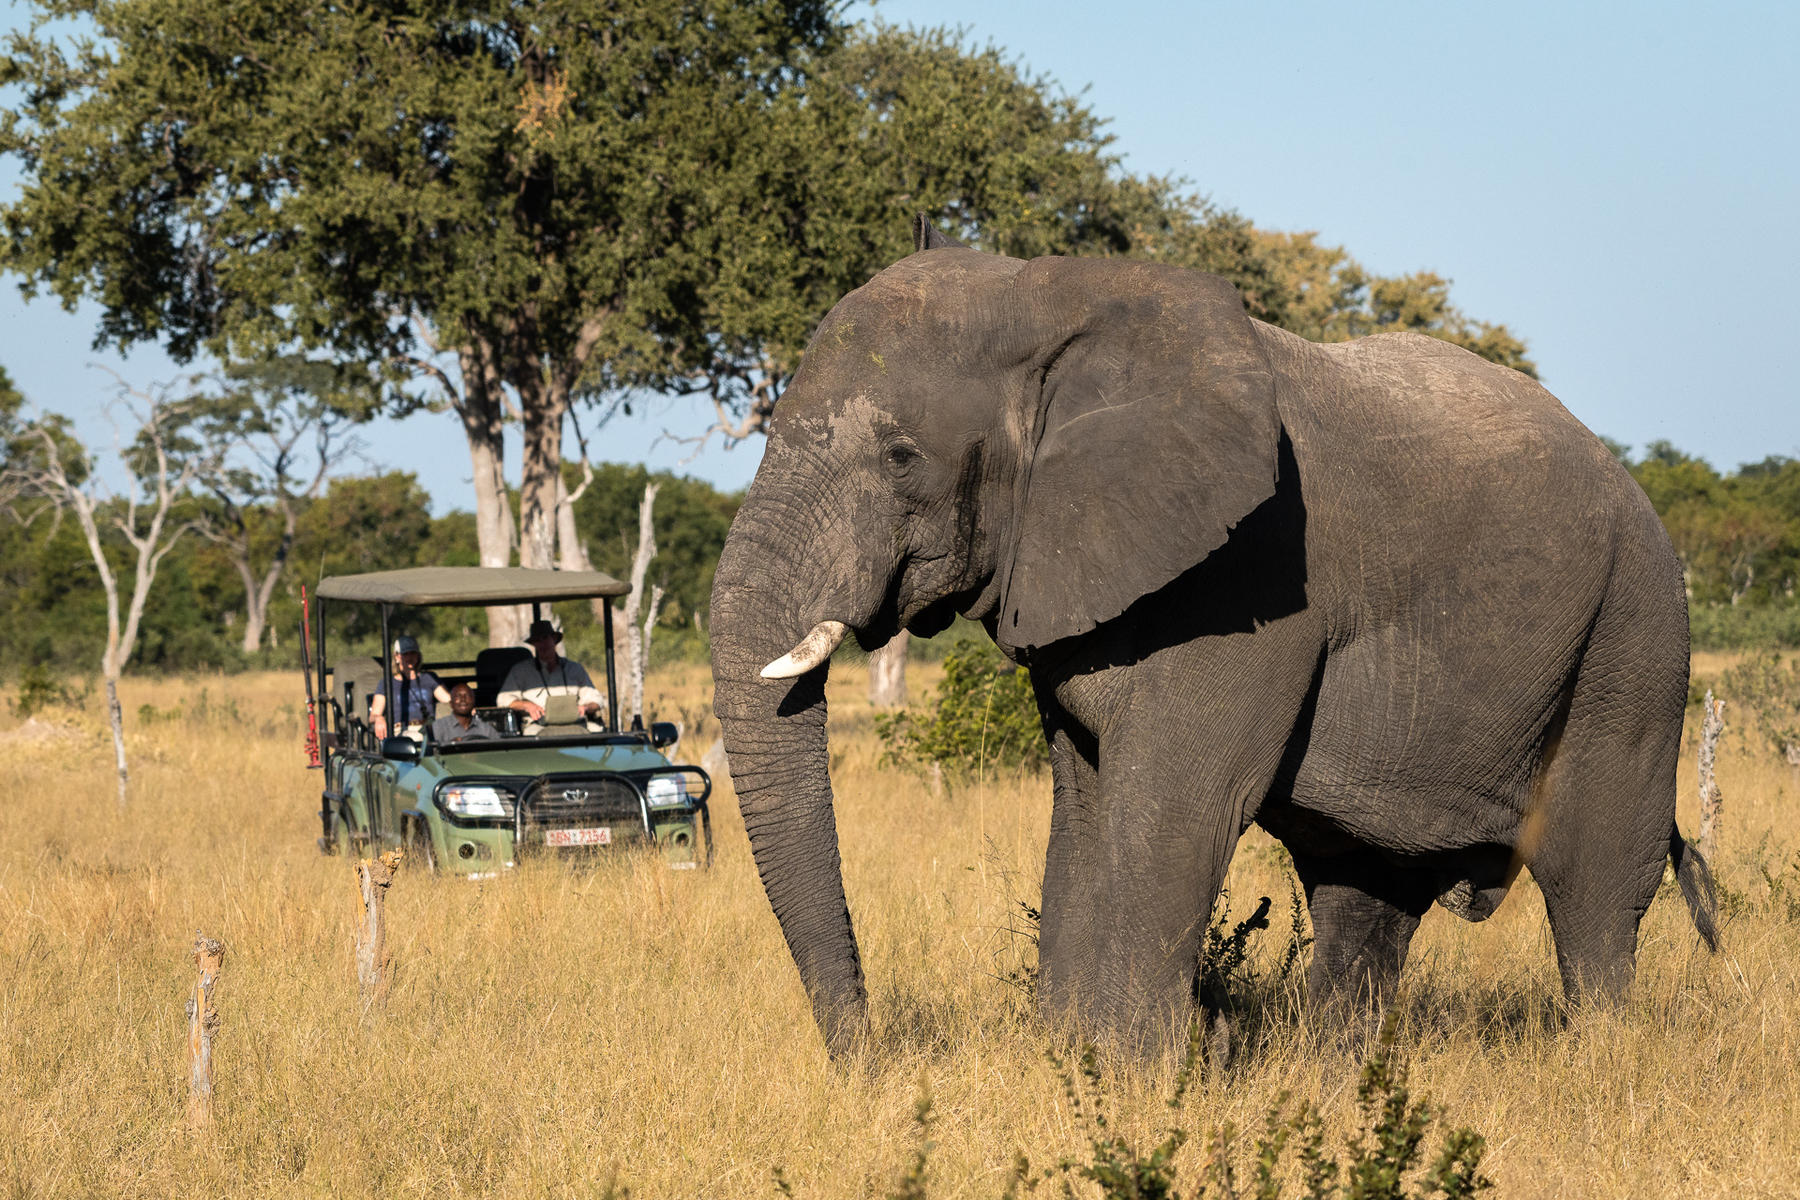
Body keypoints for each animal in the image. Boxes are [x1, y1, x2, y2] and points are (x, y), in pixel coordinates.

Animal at [705, 218, 1713, 1057]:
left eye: (901, 457)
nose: (870, 1064)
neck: (1047, 299)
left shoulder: (1249, 577)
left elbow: (1175, 804)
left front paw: (1133, 1082)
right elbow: (1087, 804)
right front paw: (1073, 1069)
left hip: (1636, 634)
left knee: (1596, 884)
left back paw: (1599, 1068)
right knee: (1365, 895)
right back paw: (1342, 1078)